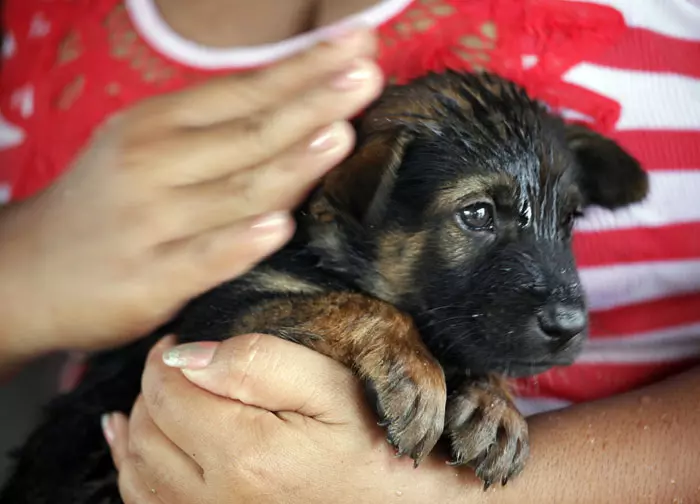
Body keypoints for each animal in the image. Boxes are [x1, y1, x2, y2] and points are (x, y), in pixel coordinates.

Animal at [0, 69, 644, 502]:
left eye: (570, 222)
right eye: (478, 214)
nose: (569, 328)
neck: (334, 253)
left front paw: (495, 406)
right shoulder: (220, 315)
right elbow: (355, 305)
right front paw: (414, 370)